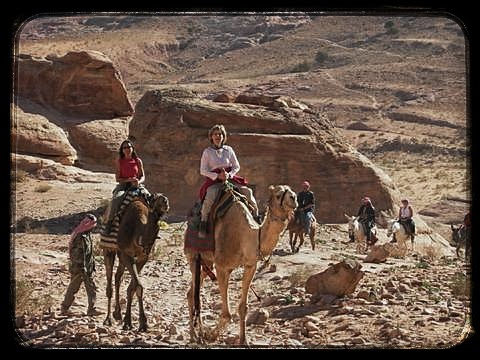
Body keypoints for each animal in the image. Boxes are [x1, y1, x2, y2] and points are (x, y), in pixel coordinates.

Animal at [102, 194, 169, 332]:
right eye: (155, 197)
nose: (165, 200)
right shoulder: (127, 255)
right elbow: (137, 285)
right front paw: (140, 323)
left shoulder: (143, 257)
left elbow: (133, 287)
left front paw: (130, 321)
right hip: (109, 250)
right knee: (110, 282)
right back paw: (108, 319)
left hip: (122, 258)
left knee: (118, 277)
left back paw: (117, 314)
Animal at [186, 184, 298, 344]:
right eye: (278, 195)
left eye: (292, 191)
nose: (294, 198)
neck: (246, 235)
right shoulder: (222, 266)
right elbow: (227, 314)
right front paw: (211, 335)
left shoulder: (250, 266)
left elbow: (243, 307)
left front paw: (244, 340)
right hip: (194, 257)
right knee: (194, 293)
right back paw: (195, 335)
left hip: (206, 261)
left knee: (193, 292)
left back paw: (197, 334)